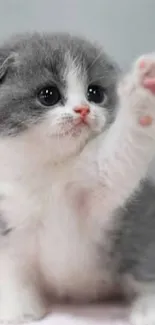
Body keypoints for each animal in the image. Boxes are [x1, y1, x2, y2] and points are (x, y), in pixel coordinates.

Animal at [0, 31, 155, 322]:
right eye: (48, 95)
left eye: (95, 93)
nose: (83, 110)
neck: (46, 168)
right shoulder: (8, 215)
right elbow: (9, 267)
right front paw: (15, 309)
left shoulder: (96, 187)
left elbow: (118, 158)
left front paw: (143, 91)